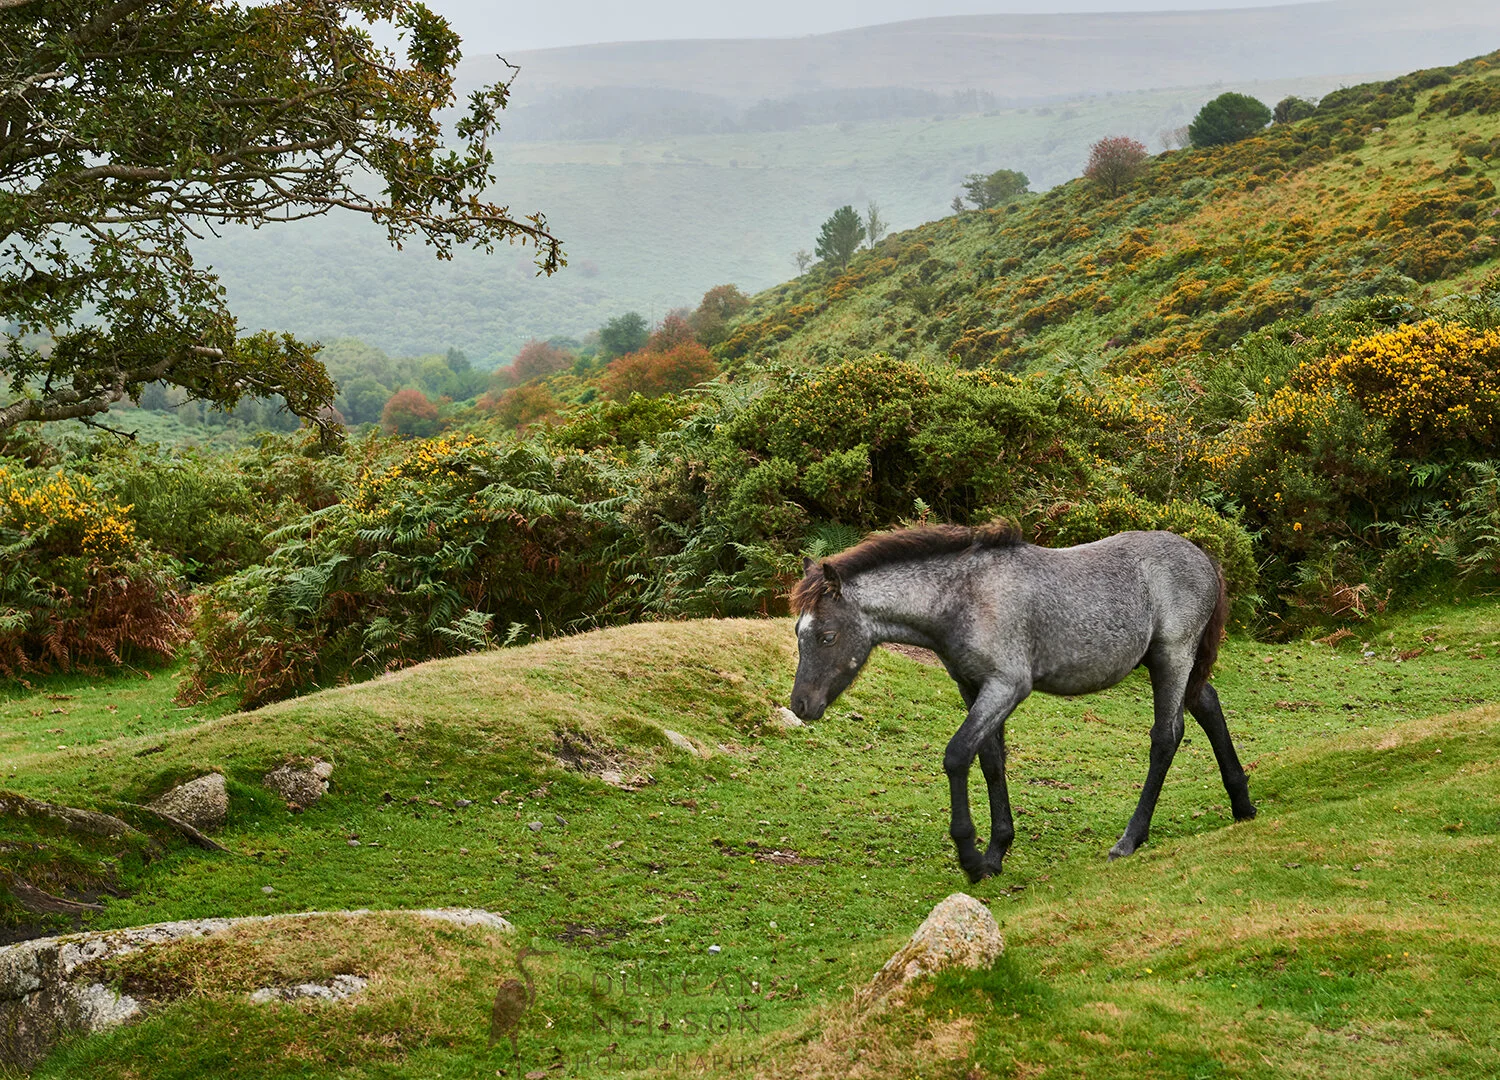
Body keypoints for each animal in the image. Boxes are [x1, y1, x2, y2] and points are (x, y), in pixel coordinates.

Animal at [788, 522, 1256, 883]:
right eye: (798, 631)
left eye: (827, 636)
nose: (800, 705)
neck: (967, 597)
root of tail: (1204, 558)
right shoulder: (973, 687)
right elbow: (991, 760)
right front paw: (996, 852)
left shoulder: (1006, 686)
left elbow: (958, 755)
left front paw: (971, 859)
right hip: (1170, 663)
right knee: (1207, 704)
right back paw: (1243, 805)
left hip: (1172, 655)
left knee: (1166, 736)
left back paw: (1129, 840)